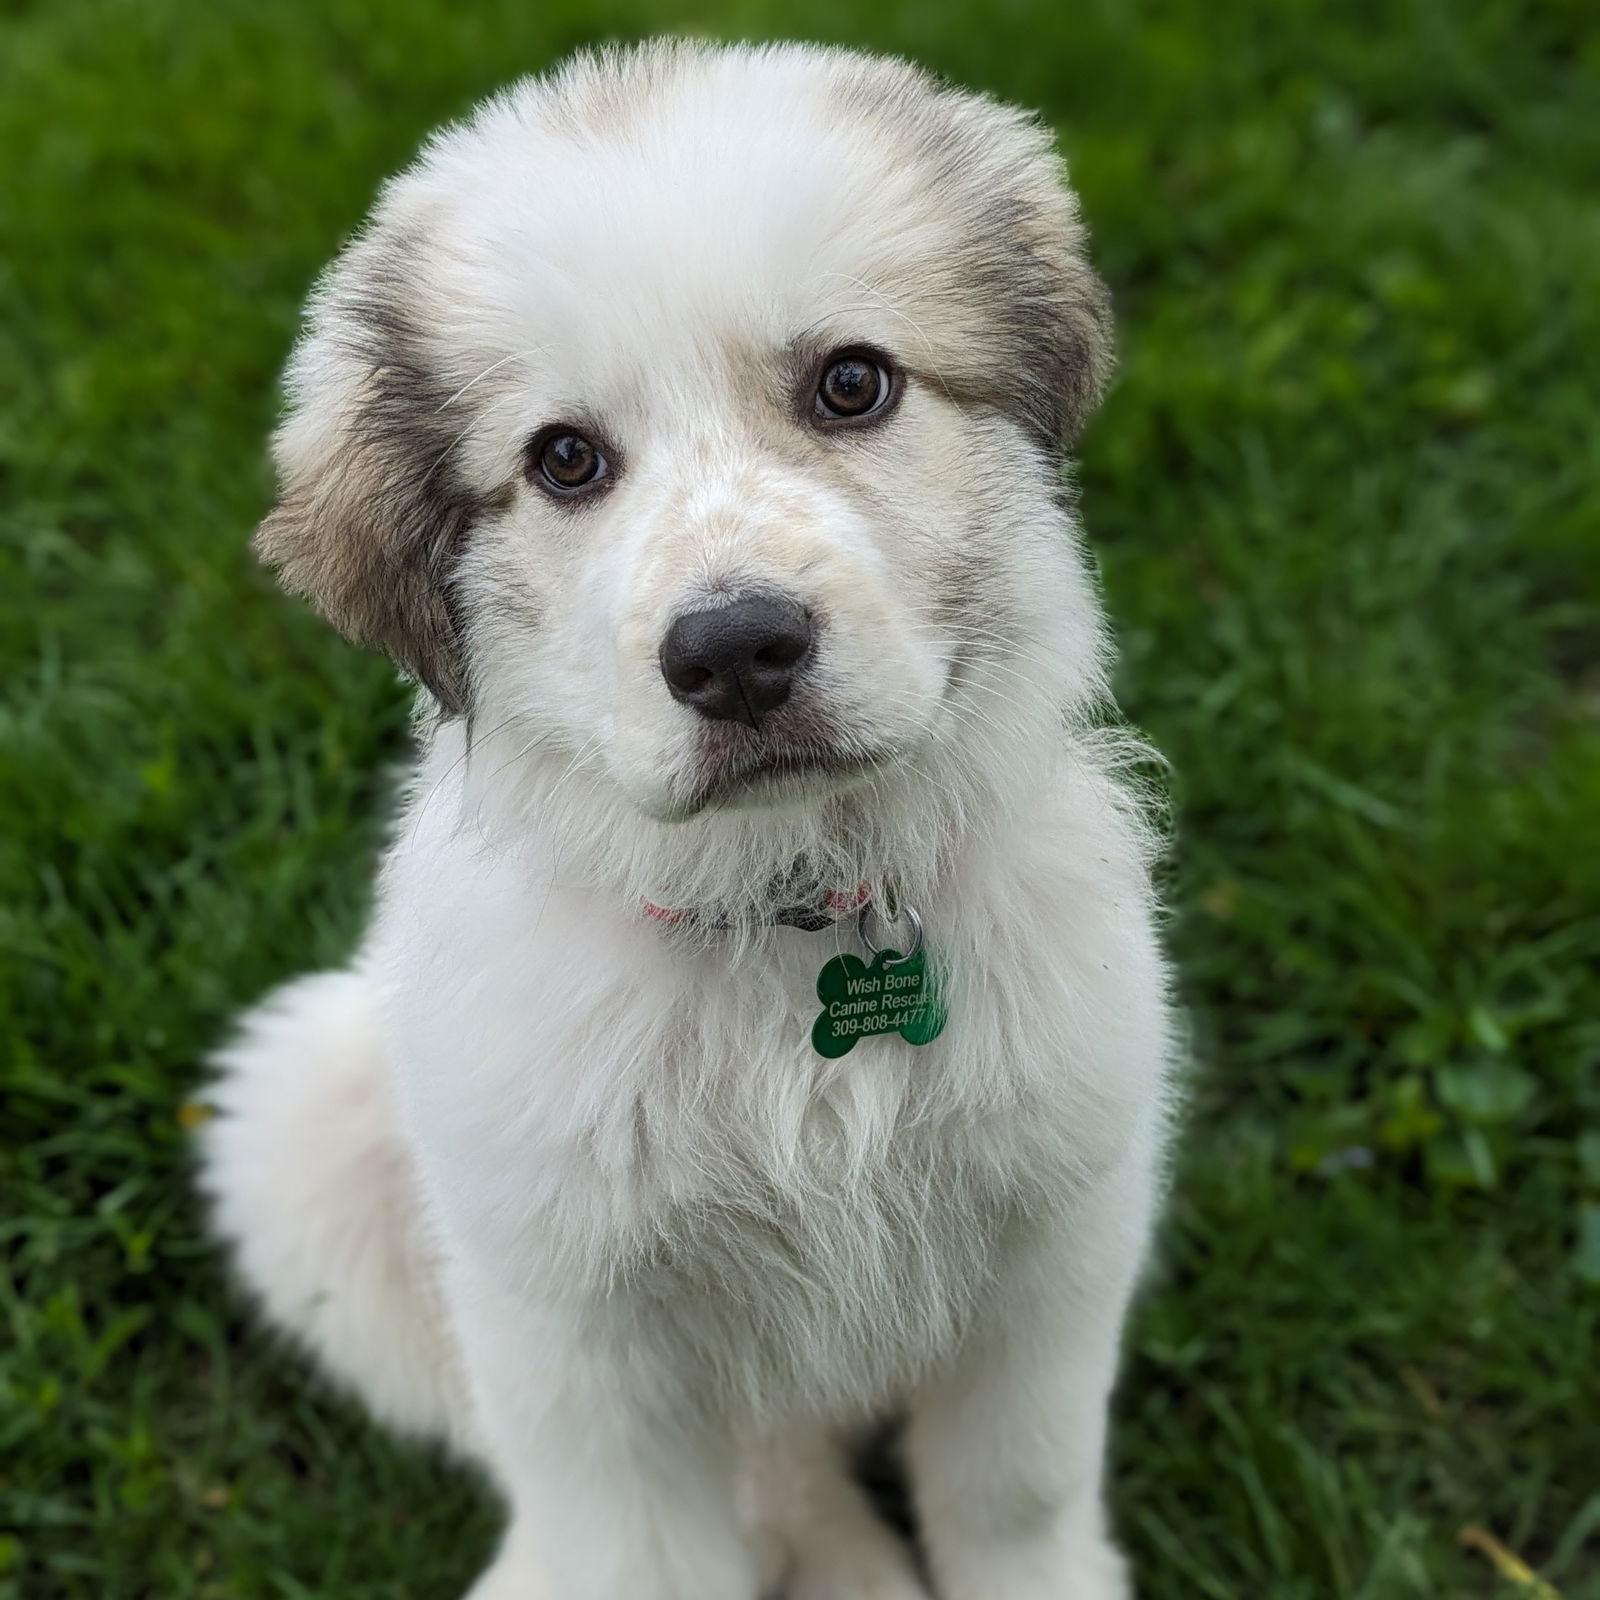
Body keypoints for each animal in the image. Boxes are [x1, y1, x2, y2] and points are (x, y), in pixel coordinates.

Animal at [203, 40, 1177, 1600]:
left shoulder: (1059, 1237)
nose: (733, 653)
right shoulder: (574, 1326)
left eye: (852, 384)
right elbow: (646, 1549)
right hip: (302, 1118)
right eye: (564, 460)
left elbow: (1013, 1496)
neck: (785, 912)